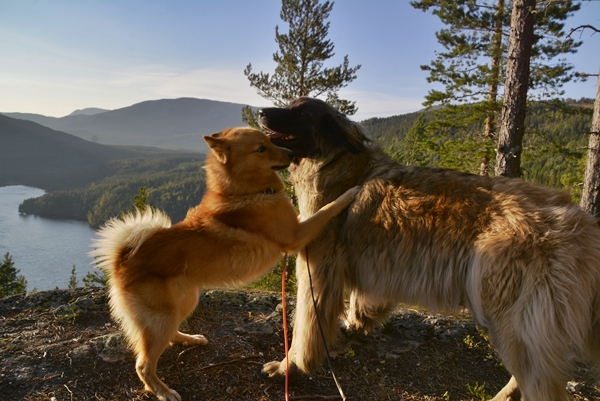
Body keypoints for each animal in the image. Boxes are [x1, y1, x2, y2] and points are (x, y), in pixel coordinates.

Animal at [91, 127, 358, 400]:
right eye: (260, 149)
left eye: (269, 140)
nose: (292, 154)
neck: (247, 192)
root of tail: (122, 258)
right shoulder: (296, 235)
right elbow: (326, 209)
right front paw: (350, 193)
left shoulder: (298, 227)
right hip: (161, 316)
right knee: (143, 365)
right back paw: (162, 390)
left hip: (183, 303)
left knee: (170, 336)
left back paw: (190, 339)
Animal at [260, 97, 600, 400]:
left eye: (300, 112)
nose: (261, 112)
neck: (339, 163)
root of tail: (582, 222)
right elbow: (362, 302)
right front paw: (356, 324)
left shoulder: (317, 270)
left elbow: (305, 330)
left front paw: (290, 367)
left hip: (509, 317)